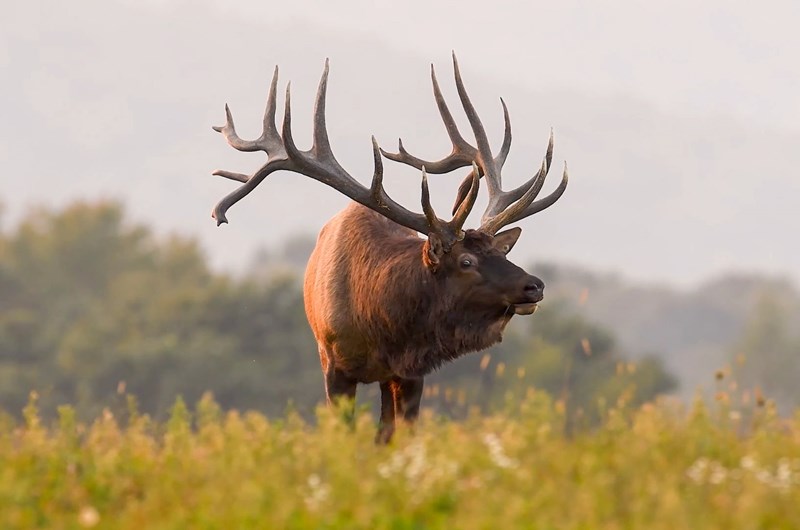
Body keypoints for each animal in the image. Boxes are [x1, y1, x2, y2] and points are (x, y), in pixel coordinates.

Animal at [211, 54, 568, 443]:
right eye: (466, 261)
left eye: (502, 252)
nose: (534, 285)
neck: (379, 325)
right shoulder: (334, 365)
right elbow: (343, 434)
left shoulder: (411, 372)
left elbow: (398, 436)